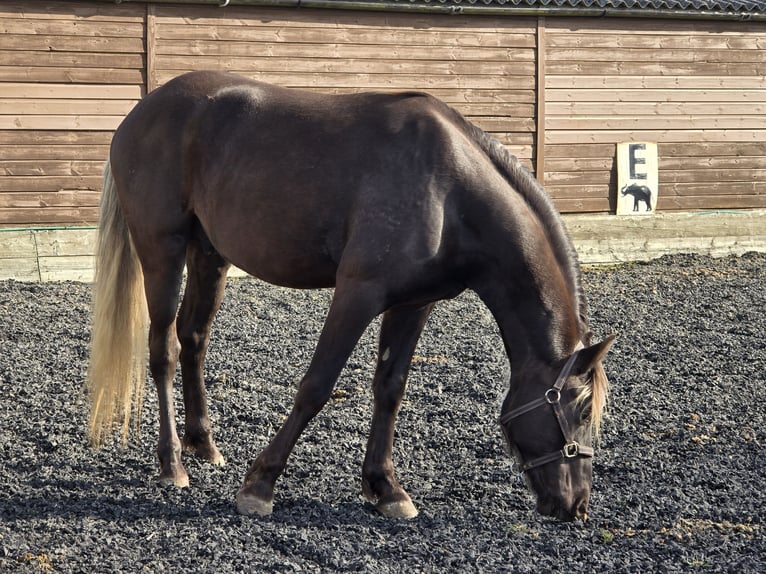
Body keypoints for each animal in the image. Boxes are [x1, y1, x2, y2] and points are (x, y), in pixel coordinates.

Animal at [87, 70, 614, 522]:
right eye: (578, 409)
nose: (577, 506)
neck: (449, 191)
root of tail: (141, 112)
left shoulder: (413, 304)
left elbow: (390, 388)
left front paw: (386, 487)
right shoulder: (357, 294)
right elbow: (317, 385)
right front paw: (260, 485)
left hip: (209, 254)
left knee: (194, 339)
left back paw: (204, 444)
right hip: (162, 250)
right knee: (164, 350)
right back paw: (172, 463)